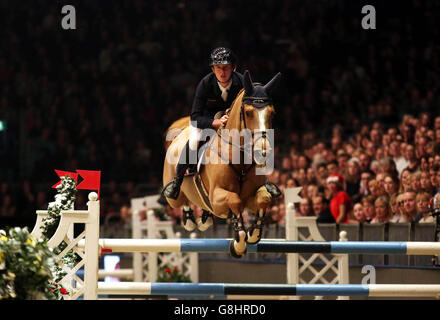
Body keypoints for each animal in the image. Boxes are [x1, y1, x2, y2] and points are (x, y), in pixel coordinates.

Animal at [162, 70, 282, 258]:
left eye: (272, 113)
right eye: (248, 113)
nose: (263, 151)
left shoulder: (251, 196)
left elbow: (264, 198)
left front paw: (254, 233)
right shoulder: (217, 198)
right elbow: (234, 200)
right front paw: (239, 243)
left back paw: (204, 219)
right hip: (173, 196)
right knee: (180, 200)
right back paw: (188, 218)